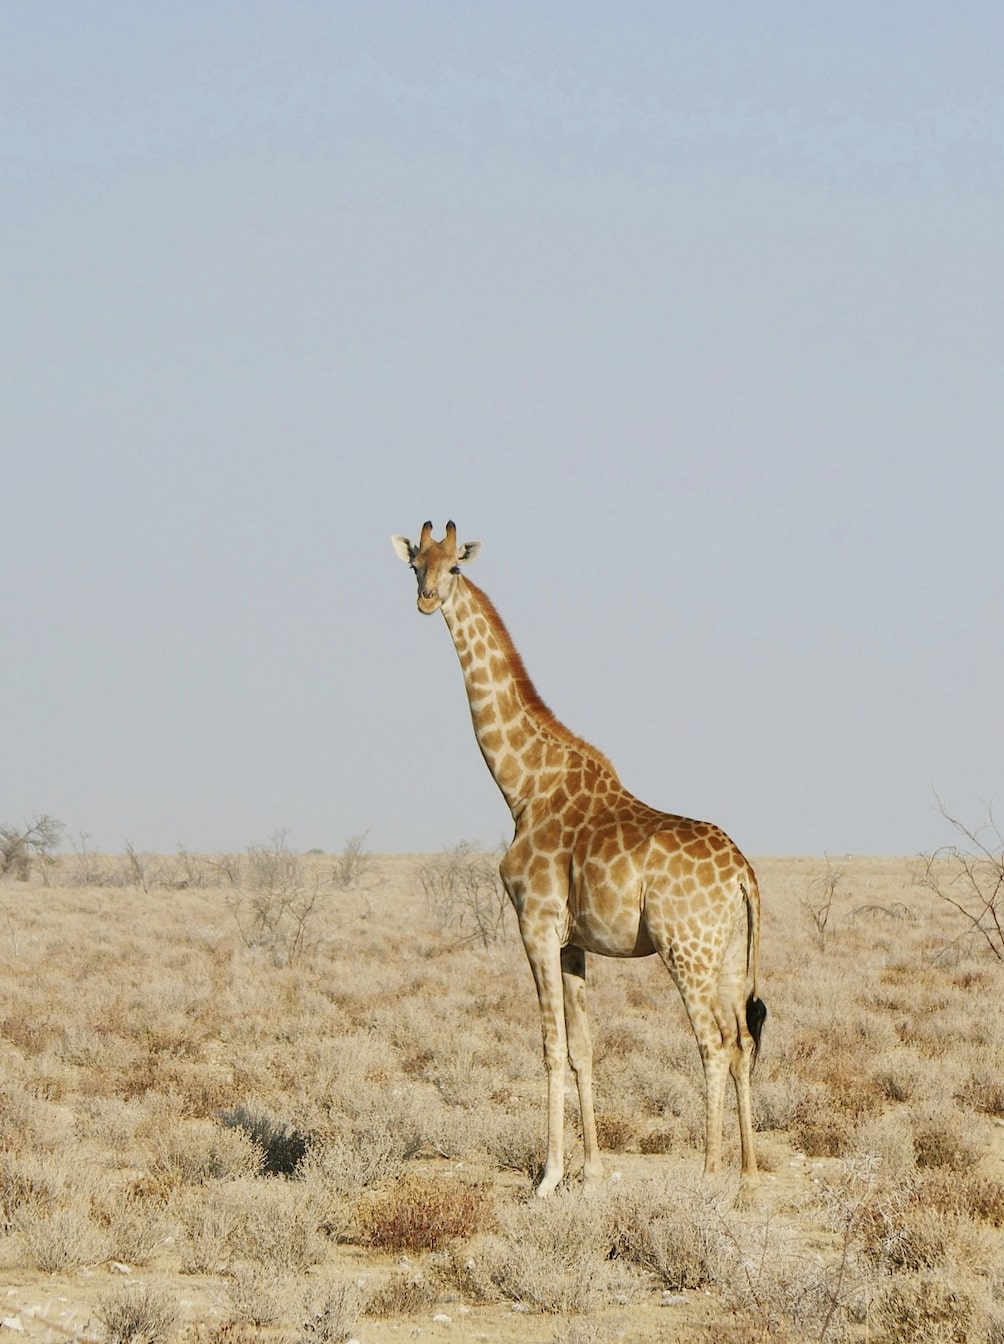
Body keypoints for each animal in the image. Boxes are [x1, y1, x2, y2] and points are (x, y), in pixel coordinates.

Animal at [392, 518, 768, 1193]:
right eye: (415, 565)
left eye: (454, 565)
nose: (427, 600)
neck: (521, 784)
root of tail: (745, 875)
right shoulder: (573, 942)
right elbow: (584, 1048)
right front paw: (591, 1170)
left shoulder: (535, 924)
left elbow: (550, 1046)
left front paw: (547, 1177)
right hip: (728, 955)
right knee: (742, 1041)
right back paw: (748, 1177)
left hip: (685, 950)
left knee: (713, 1043)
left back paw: (707, 1175)